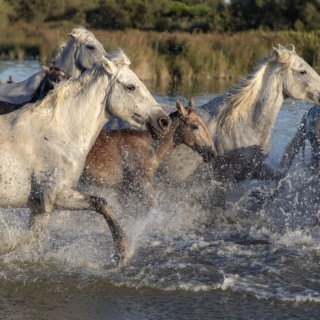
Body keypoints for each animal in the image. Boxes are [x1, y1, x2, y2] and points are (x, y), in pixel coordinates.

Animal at [0, 49, 170, 262]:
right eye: (131, 87)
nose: (164, 121)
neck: (58, 134)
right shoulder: (53, 197)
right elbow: (101, 204)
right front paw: (121, 249)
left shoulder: (39, 206)